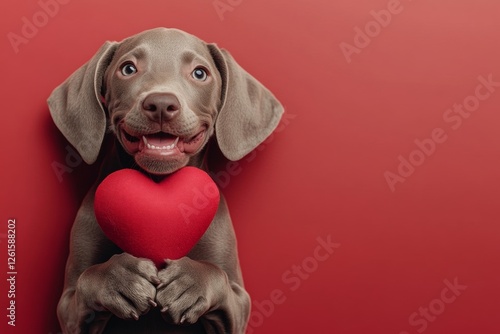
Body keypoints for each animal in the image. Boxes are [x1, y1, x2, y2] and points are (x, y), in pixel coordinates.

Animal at [49, 27, 286, 332]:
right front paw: (118, 278)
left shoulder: (239, 305)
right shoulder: (68, 307)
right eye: (128, 69)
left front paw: (191, 282)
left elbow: (219, 276)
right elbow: (86, 280)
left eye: (200, 73)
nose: (161, 103)